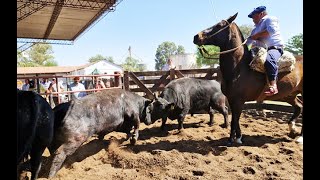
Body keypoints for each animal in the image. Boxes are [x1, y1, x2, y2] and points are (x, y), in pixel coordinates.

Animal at [192, 13, 302, 145]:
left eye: (219, 25)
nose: (196, 36)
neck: (239, 68)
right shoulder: (232, 100)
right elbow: (235, 118)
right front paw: (238, 137)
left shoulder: (239, 100)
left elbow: (235, 119)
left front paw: (232, 140)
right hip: (289, 95)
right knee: (299, 107)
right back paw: (292, 130)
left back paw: (299, 136)